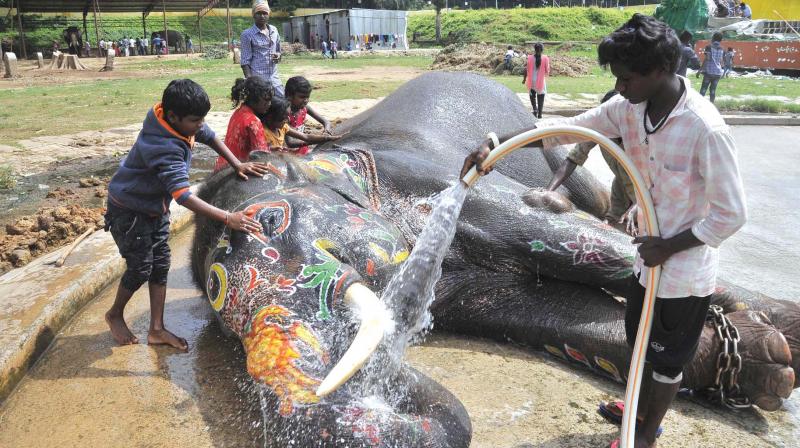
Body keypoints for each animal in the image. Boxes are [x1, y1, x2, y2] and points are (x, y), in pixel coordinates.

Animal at [191, 72, 796, 446]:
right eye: (217, 299)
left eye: (272, 221)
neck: (322, 155)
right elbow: (547, 316)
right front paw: (768, 365)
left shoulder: (426, 172)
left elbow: (567, 237)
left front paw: (780, 333)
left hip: (551, 146)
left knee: (594, 203)